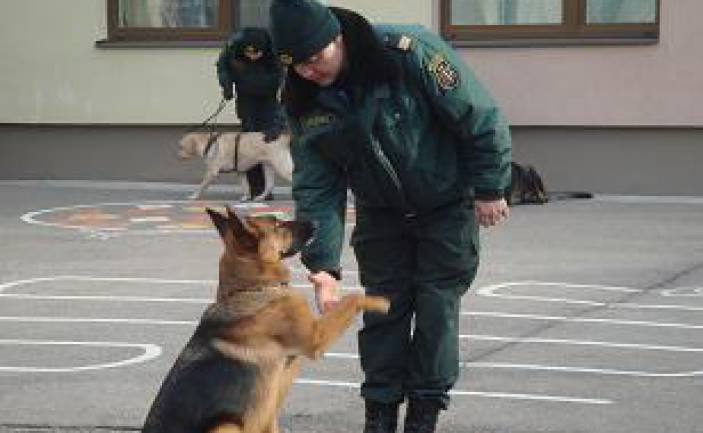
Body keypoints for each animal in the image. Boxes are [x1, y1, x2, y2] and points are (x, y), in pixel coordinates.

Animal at [140, 207, 388, 432]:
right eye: (277, 225)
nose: (317, 223)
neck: (252, 288)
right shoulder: (316, 337)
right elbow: (353, 297)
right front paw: (381, 301)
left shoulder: (270, 412)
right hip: (227, 425)